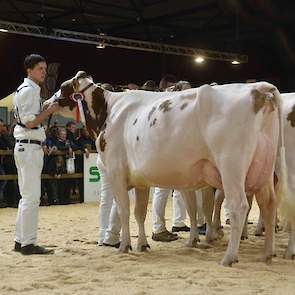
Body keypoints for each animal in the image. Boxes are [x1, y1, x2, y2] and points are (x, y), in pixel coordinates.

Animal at [46, 72, 286, 268]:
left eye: (63, 87)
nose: (46, 102)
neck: (109, 112)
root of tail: (261, 88)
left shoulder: (115, 172)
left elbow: (124, 211)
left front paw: (125, 246)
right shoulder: (141, 181)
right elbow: (140, 212)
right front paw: (142, 244)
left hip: (231, 166)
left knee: (239, 206)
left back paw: (229, 258)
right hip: (264, 168)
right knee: (268, 204)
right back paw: (267, 253)